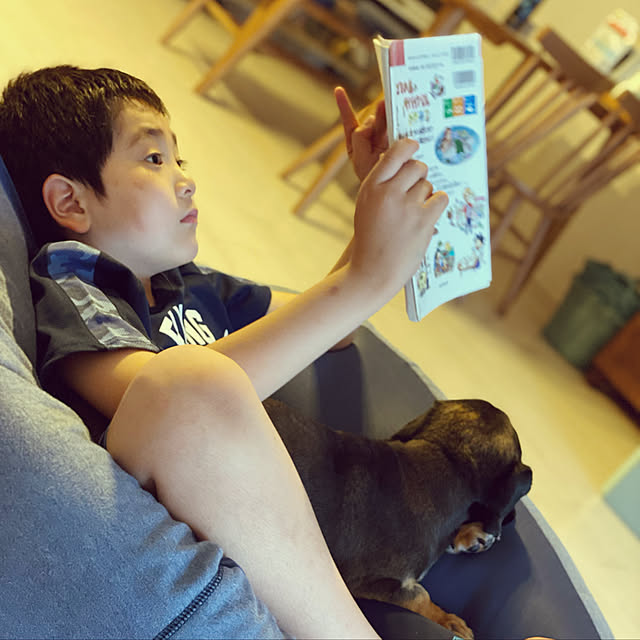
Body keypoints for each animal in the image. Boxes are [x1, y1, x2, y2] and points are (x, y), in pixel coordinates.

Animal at [264, 397, 532, 639]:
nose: (512, 520)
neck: (446, 458)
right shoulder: (372, 584)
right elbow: (420, 595)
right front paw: (450, 622)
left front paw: (470, 537)